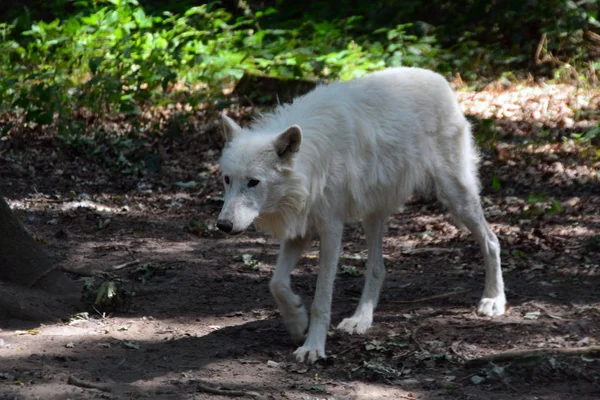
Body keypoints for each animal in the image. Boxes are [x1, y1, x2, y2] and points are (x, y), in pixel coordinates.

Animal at [217, 68, 506, 362]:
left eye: (253, 182)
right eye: (227, 179)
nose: (223, 225)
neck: (311, 163)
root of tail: (438, 77)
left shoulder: (331, 229)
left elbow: (322, 299)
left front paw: (313, 347)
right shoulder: (301, 229)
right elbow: (276, 283)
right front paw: (297, 321)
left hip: (456, 196)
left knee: (492, 240)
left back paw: (494, 300)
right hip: (373, 212)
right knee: (378, 268)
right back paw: (360, 320)